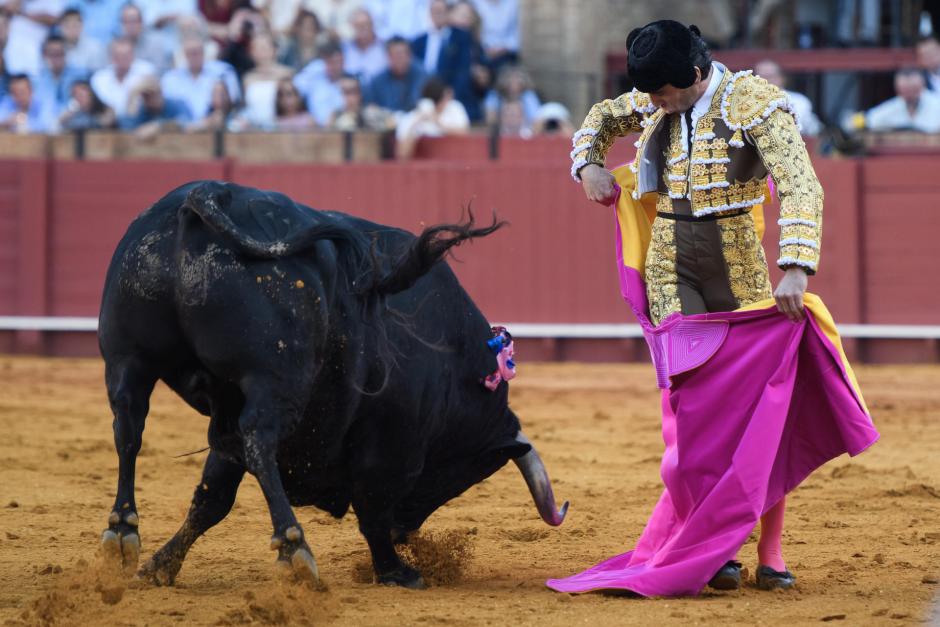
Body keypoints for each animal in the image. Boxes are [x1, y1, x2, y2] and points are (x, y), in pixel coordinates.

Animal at [97, 180, 564, 588]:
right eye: (462, 474)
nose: (405, 532)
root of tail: (213, 192)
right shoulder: (391, 445)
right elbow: (373, 510)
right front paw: (397, 571)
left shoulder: (226, 420)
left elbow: (212, 498)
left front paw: (160, 567)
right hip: (274, 381)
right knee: (259, 439)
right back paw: (294, 547)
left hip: (128, 359)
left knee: (128, 429)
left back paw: (122, 533)